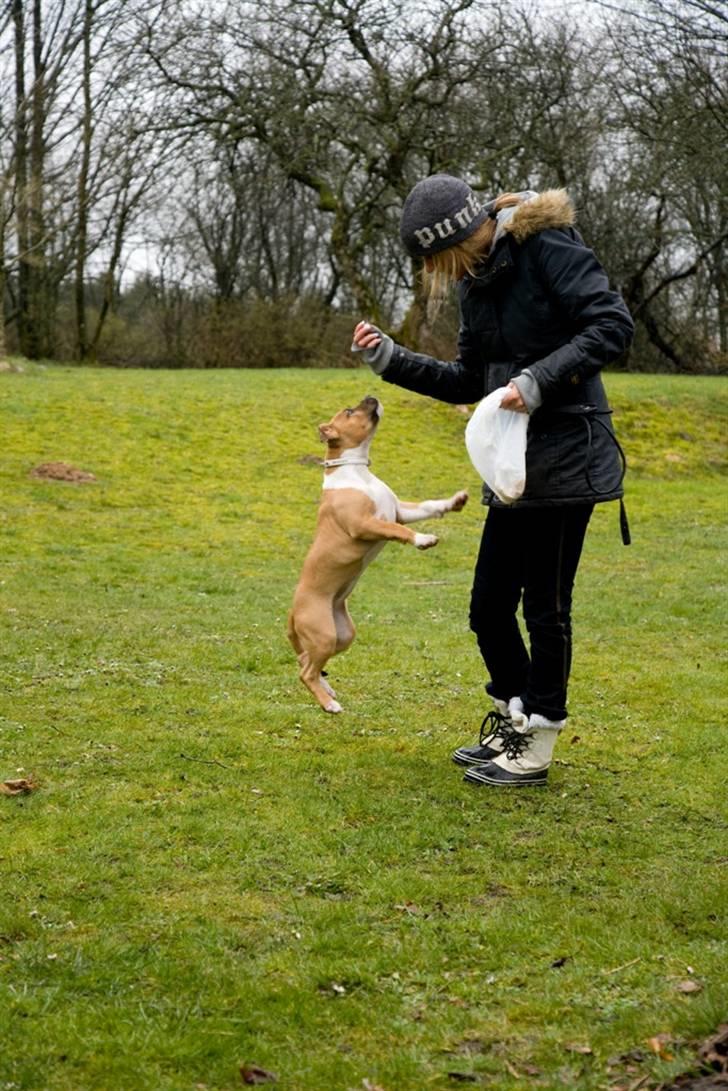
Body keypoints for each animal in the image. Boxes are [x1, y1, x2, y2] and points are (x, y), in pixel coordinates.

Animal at [288, 397, 469, 711]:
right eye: (349, 412)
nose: (372, 396)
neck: (355, 471)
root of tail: (292, 609)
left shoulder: (400, 510)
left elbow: (427, 507)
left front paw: (452, 502)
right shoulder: (365, 524)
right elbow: (398, 531)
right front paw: (423, 539)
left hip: (343, 635)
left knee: (305, 659)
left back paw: (327, 689)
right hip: (323, 633)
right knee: (306, 671)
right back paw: (328, 704)